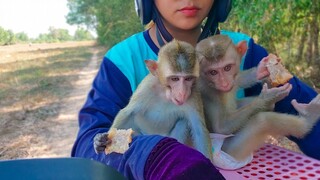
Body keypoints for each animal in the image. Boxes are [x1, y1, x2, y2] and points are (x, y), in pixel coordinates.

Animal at [195, 34, 320, 169]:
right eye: (213, 72)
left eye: (227, 68)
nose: (224, 83)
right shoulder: (208, 92)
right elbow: (221, 126)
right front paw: (268, 97)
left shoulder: (233, 78)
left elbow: (240, 78)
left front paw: (262, 69)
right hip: (227, 154)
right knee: (263, 120)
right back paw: (308, 118)